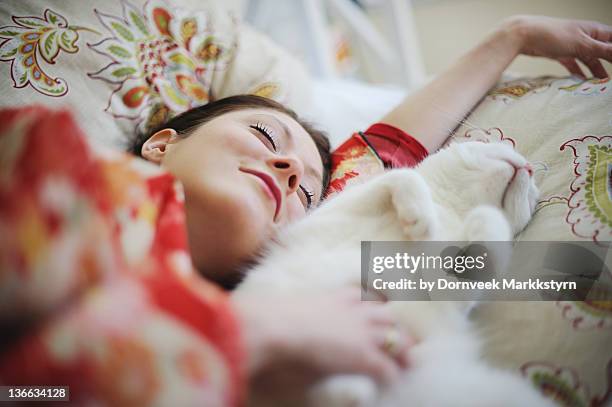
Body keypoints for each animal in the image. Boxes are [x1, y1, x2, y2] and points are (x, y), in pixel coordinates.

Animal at [234, 142, 548, 406]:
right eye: (506, 146)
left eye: (532, 197)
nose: (529, 168)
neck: (449, 209)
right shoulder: (334, 214)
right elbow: (404, 176)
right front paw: (420, 217)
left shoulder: (448, 297)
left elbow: (486, 236)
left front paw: (482, 220)